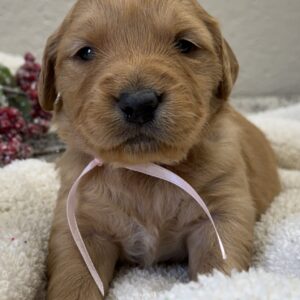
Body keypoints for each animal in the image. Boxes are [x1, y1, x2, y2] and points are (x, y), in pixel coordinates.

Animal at [38, 0, 282, 298]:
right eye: (85, 52)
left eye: (185, 45)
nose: (139, 103)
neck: (145, 171)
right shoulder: (79, 226)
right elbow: (74, 280)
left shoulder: (223, 214)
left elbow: (218, 268)